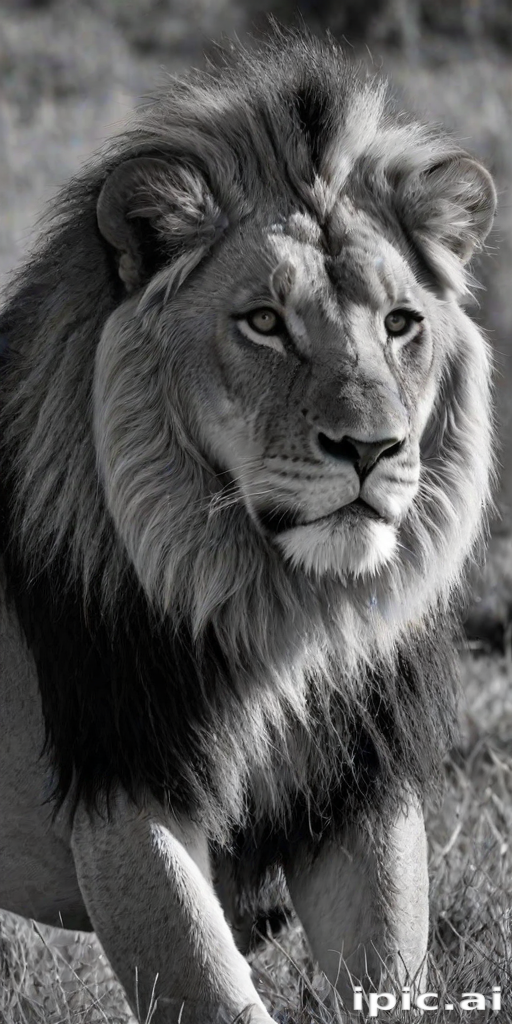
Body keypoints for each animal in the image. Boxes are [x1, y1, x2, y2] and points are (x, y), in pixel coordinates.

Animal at [0, 30, 496, 1024]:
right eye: (265, 322)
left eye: (401, 323)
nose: (370, 448)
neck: (283, 619)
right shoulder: (125, 790)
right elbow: (212, 988)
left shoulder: (363, 793)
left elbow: (386, 975)